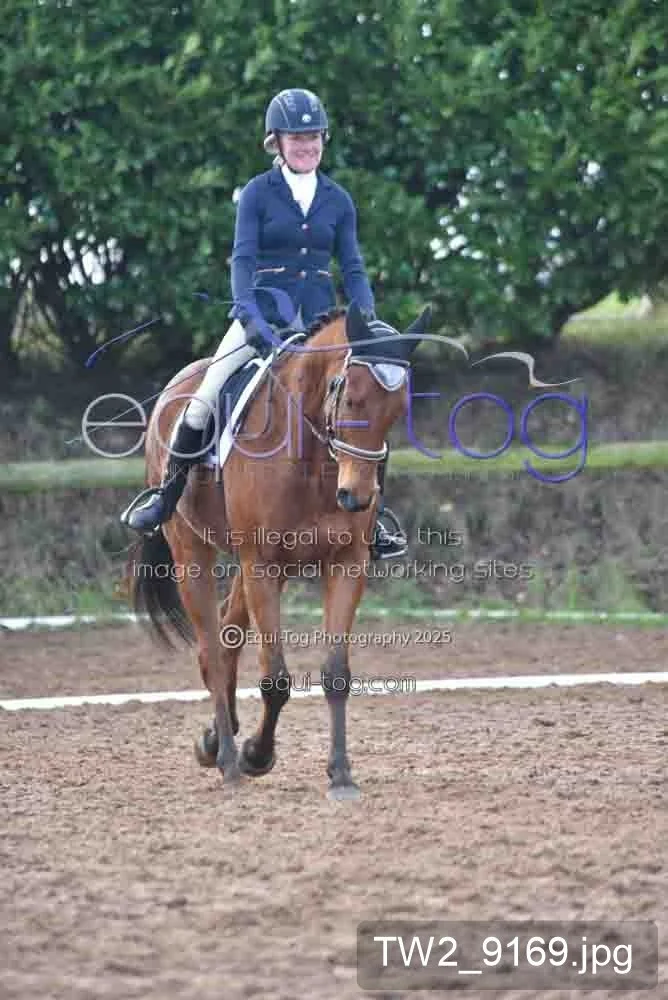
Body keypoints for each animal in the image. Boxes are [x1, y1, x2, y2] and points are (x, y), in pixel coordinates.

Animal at [124, 300, 429, 799]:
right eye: (350, 397)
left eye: (398, 409)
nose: (357, 498)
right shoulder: (262, 565)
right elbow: (275, 679)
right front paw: (256, 755)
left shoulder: (346, 563)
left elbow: (336, 673)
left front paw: (341, 775)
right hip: (195, 551)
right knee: (212, 651)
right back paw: (229, 762)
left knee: (226, 640)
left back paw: (215, 740)